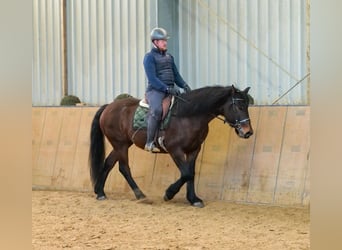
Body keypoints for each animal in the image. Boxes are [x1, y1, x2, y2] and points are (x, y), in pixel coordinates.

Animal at [89, 85, 252, 208]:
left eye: (247, 106)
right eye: (238, 106)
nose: (248, 132)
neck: (189, 116)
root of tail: (108, 107)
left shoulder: (194, 150)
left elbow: (191, 173)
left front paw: (194, 199)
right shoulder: (175, 150)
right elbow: (186, 173)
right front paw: (169, 193)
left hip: (122, 144)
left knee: (108, 163)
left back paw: (100, 192)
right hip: (120, 144)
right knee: (124, 168)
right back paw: (140, 195)